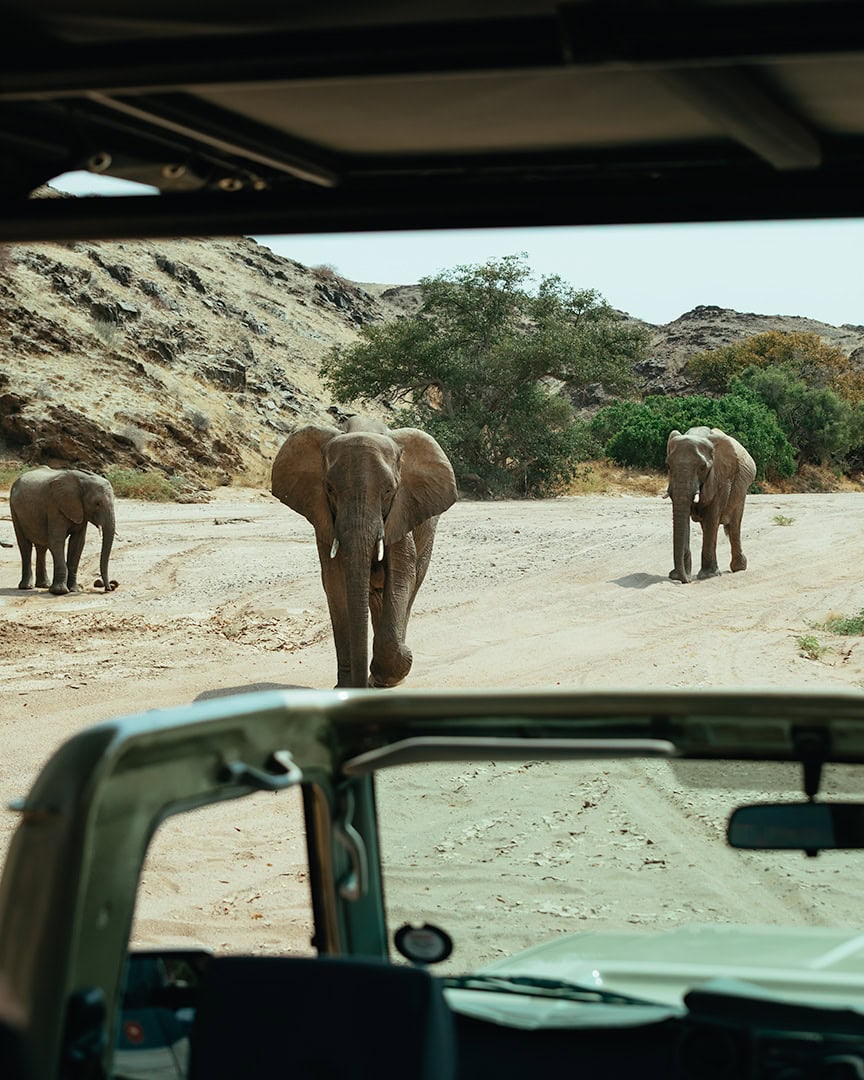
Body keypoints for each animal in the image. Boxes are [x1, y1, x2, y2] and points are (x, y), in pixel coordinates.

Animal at [10, 467, 118, 595]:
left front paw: (74, 589)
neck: (82, 479)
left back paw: (44, 585)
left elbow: (77, 544)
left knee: (42, 547)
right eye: (97, 504)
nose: (110, 587)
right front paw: (60, 591)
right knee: (25, 545)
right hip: (14, 510)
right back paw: (27, 587)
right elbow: (56, 542)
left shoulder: (81, 511)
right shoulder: (55, 506)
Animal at [271, 418, 457, 688]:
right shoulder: (325, 521)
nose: (361, 684)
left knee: (411, 585)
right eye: (330, 489)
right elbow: (336, 584)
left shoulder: (401, 511)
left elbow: (401, 575)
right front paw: (346, 687)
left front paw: (394, 667)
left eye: (389, 490)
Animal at [665, 427, 756, 584]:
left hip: (742, 489)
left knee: (734, 525)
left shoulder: (721, 476)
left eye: (702, 468)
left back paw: (739, 567)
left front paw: (708, 576)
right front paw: (678, 575)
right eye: (669, 466)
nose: (687, 580)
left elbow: (712, 518)